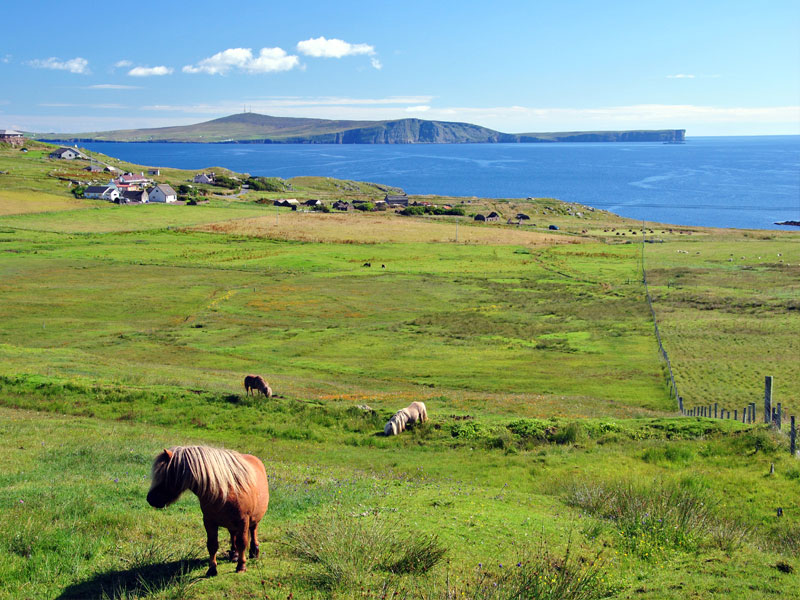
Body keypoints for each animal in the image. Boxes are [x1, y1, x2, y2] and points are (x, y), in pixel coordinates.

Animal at [145, 446, 268, 576]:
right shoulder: (209, 521)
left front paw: (241, 566)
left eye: (165, 475)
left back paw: (254, 551)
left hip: (253, 519)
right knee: (233, 534)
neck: (226, 491)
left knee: (253, 530)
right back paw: (234, 554)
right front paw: (212, 569)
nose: (150, 499)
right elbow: (212, 545)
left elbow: (242, 542)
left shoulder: (243, 521)